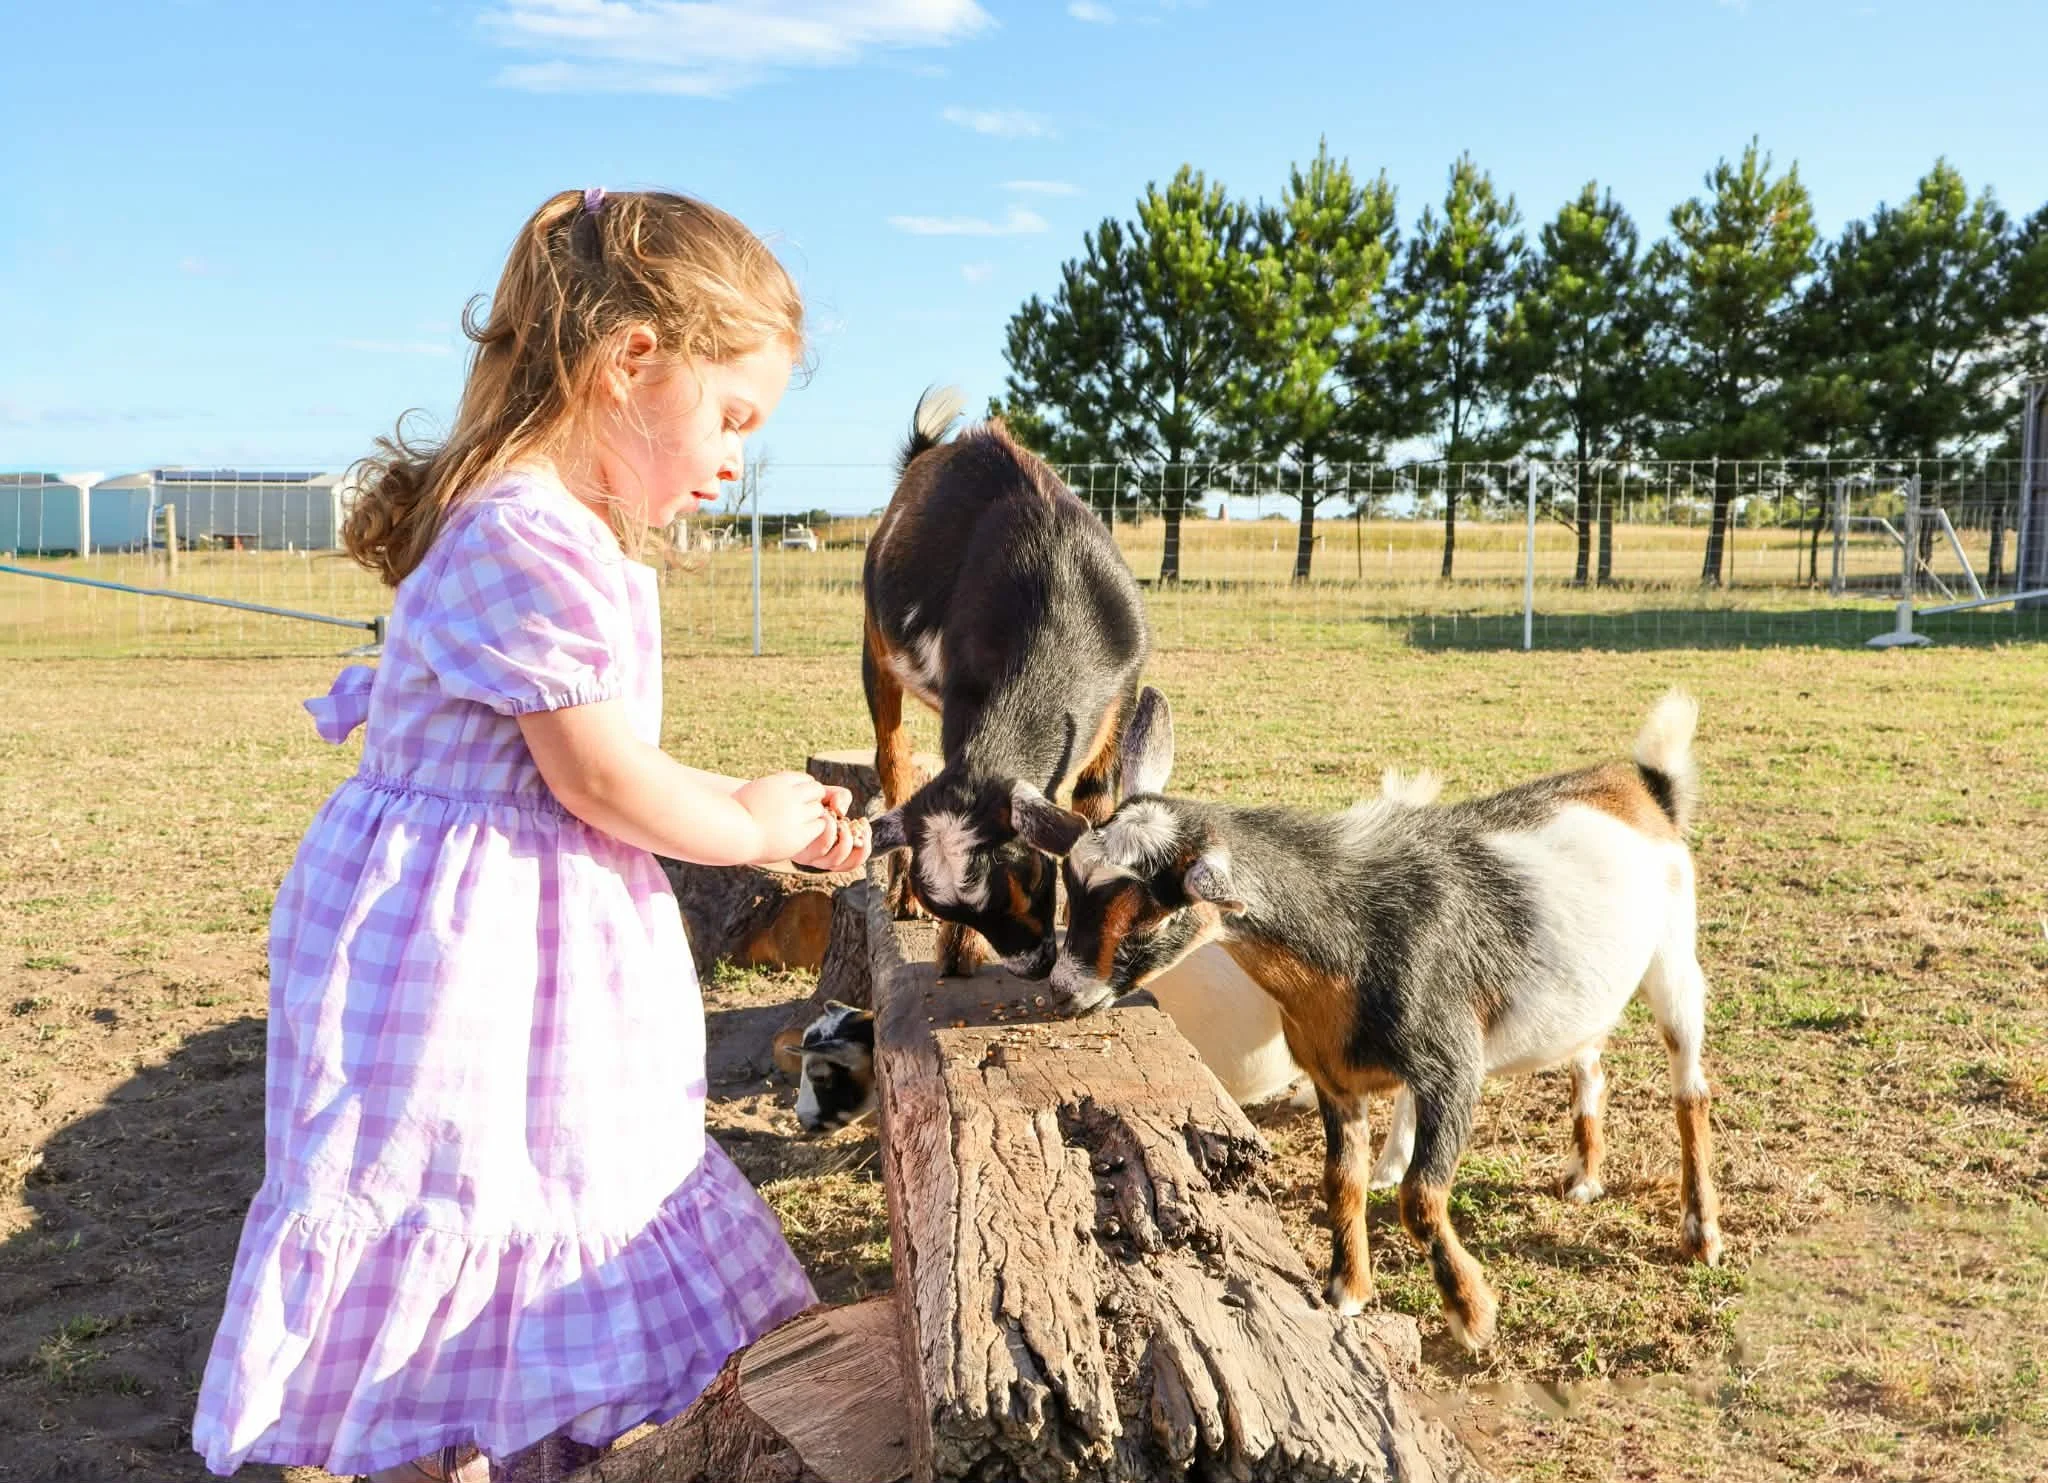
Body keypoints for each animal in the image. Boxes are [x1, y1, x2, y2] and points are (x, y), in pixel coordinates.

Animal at [863, 387, 1150, 978]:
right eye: (949, 907)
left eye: (1030, 876)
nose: (1033, 965)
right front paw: (957, 951)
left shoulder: (1125, 688)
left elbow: (1094, 801)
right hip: (874, 649)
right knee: (892, 759)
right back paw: (897, 894)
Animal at [1016, 688, 1723, 1350]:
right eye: (1072, 888)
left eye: (1149, 919)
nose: (1064, 992)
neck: (1354, 932)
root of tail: (1640, 788)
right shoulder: (1333, 1078)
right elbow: (1341, 1182)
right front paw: (1347, 1289)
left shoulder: (1453, 1071)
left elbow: (1421, 1197)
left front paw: (1472, 1313)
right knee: (1590, 1062)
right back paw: (1584, 1175)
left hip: (1673, 959)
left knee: (1690, 1088)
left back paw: (1700, 1231)